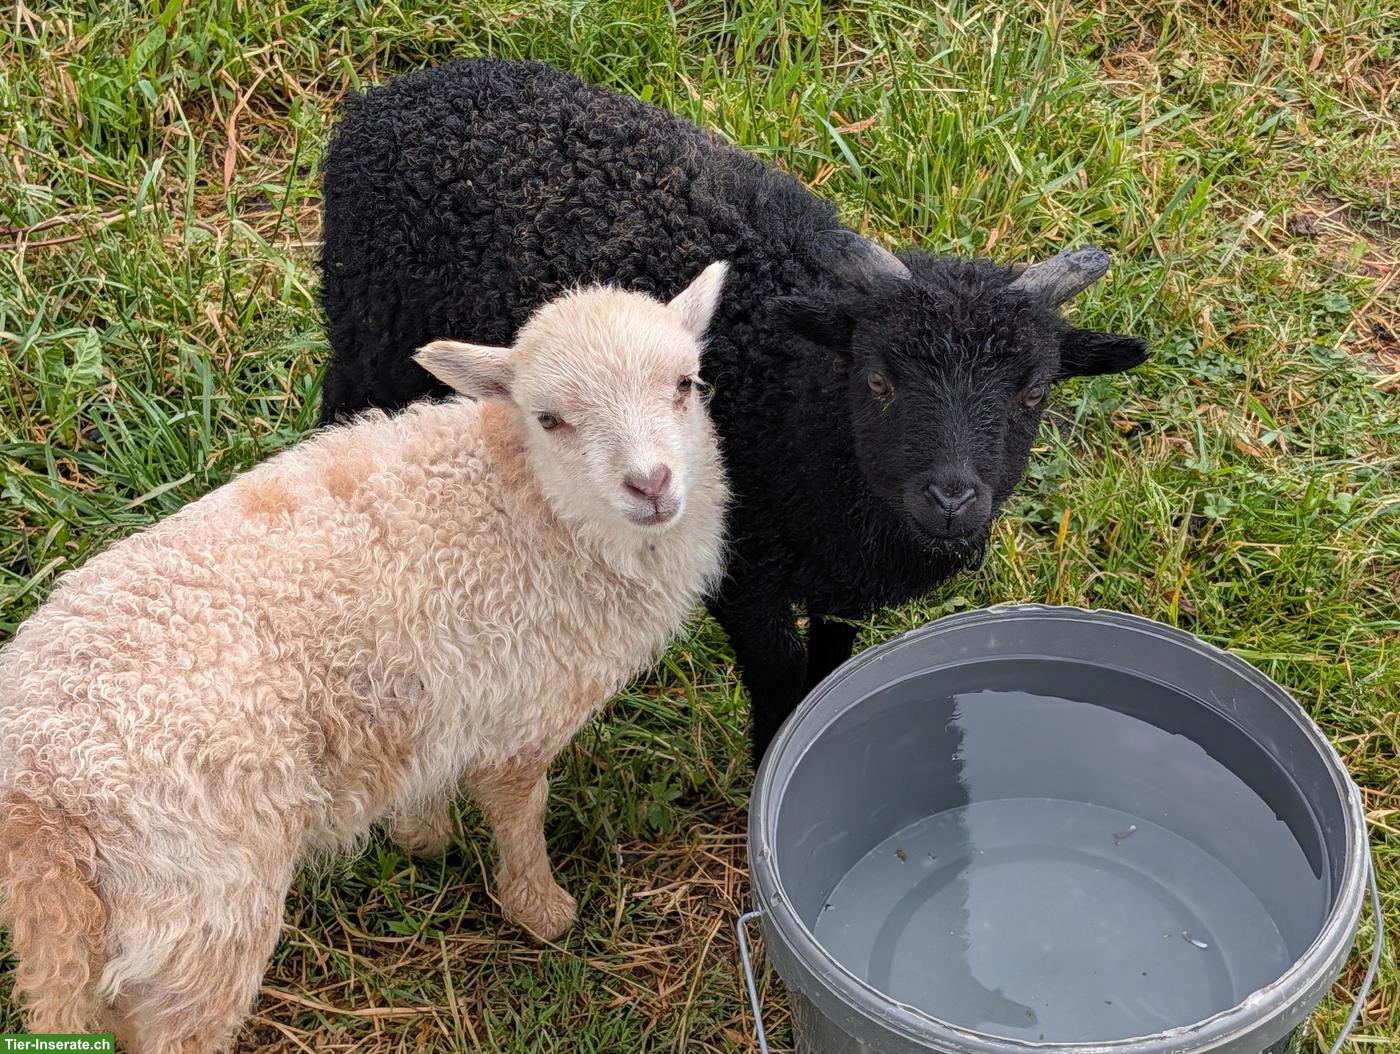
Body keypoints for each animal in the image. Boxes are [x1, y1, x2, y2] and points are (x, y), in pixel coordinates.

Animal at [0, 263, 730, 1052]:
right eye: (549, 420)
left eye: (686, 383)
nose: (651, 485)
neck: (532, 505)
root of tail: (41, 814)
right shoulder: (525, 708)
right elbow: (519, 809)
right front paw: (541, 911)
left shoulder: (440, 695)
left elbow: (427, 776)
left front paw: (423, 838)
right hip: (205, 900)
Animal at [318, 58, 1150, 758]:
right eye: (878, 381)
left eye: (1033, 392)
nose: (951, 500)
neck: (800, 399)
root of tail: (391, 95)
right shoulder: (745, 565)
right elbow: (780, 668)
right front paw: (770, 757)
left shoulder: (838, 574)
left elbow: (832, 656)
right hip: (369, 335)